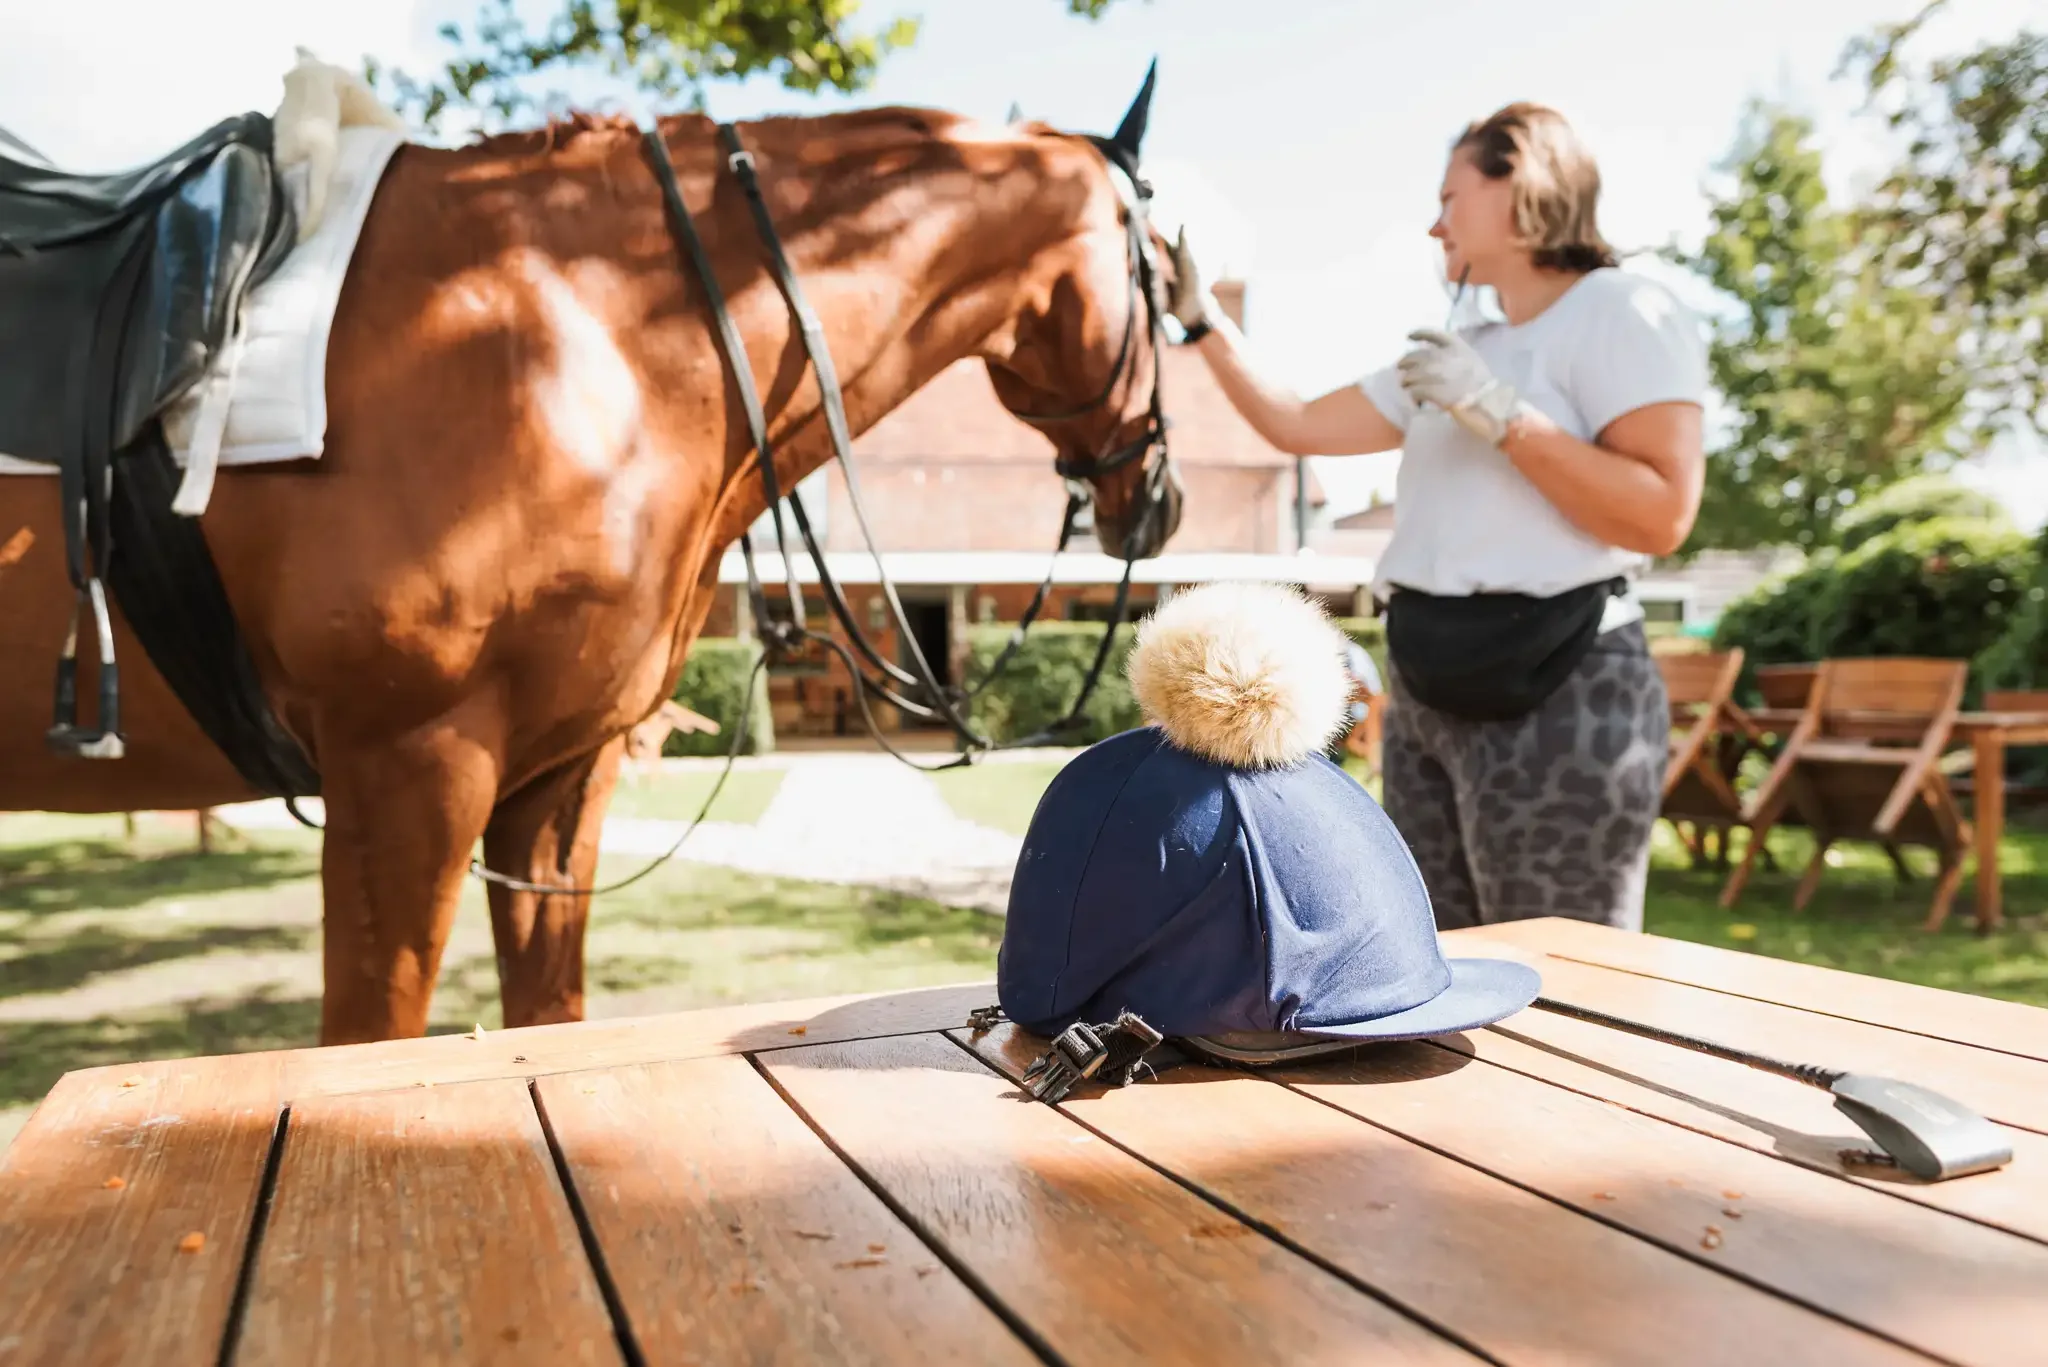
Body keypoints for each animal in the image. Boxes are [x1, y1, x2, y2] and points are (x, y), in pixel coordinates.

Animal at [0, 70, 1182, 1045]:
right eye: (1165, 284)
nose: (1159, 501)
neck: (582, 327)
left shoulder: (554, 786)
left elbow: (546, 1010)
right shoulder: (406, 772)